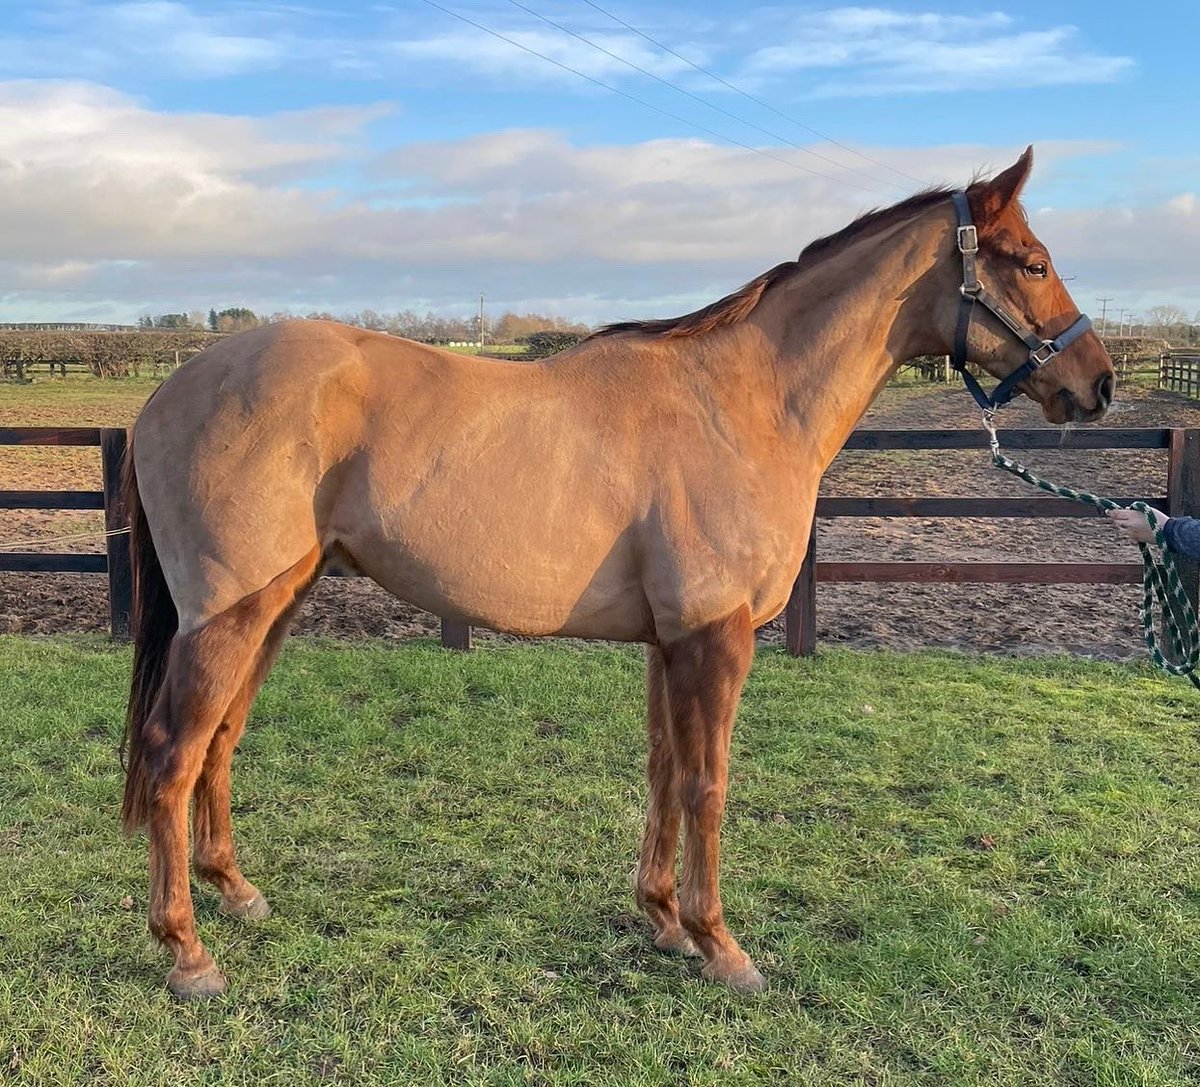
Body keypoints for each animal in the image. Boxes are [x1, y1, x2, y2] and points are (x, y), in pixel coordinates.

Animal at [120, 147, 1114, 998]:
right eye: (1031, 263)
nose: (1098, 384)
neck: (741, 403)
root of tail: (169, 392)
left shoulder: (669, 641)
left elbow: (665, 769)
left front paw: (665, 920)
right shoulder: (714, 638)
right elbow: (709, 782)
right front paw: (722, 945)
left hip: (274, 608)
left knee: (219, 741)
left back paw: (234, 892)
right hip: (230, 616)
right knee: (172, 751)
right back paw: (186, 950)